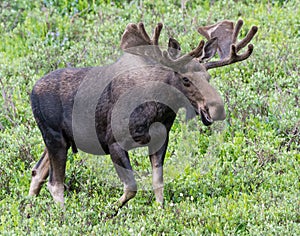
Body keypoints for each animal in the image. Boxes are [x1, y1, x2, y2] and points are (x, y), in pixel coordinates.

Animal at [28, 18, 258, 208]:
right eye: (185, 79)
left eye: (208, 77)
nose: (216, 109)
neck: (157, 111)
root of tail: (32, 91)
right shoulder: (113, 142)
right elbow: (131, 187)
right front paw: (110, 210)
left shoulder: (159, 140)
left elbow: (158, 182)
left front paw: (160, 212)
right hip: (54, 137)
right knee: (55, 182)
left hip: (63, 139)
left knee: (37, 171)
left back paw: (30, 209)